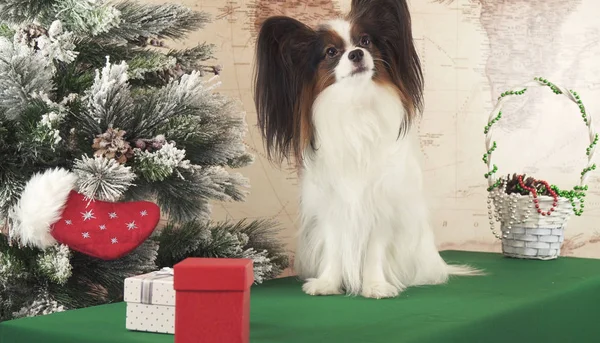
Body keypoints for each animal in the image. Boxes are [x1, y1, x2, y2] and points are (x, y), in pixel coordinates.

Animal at [251, 0, 480, 298]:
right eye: (331, 52)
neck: (356, 104)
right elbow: (334, 247)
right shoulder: (331, 207)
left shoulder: (381, 204)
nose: (357, 54)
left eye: (365, 41)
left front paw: (375, 285)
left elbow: (374, 251)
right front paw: (327, 283)